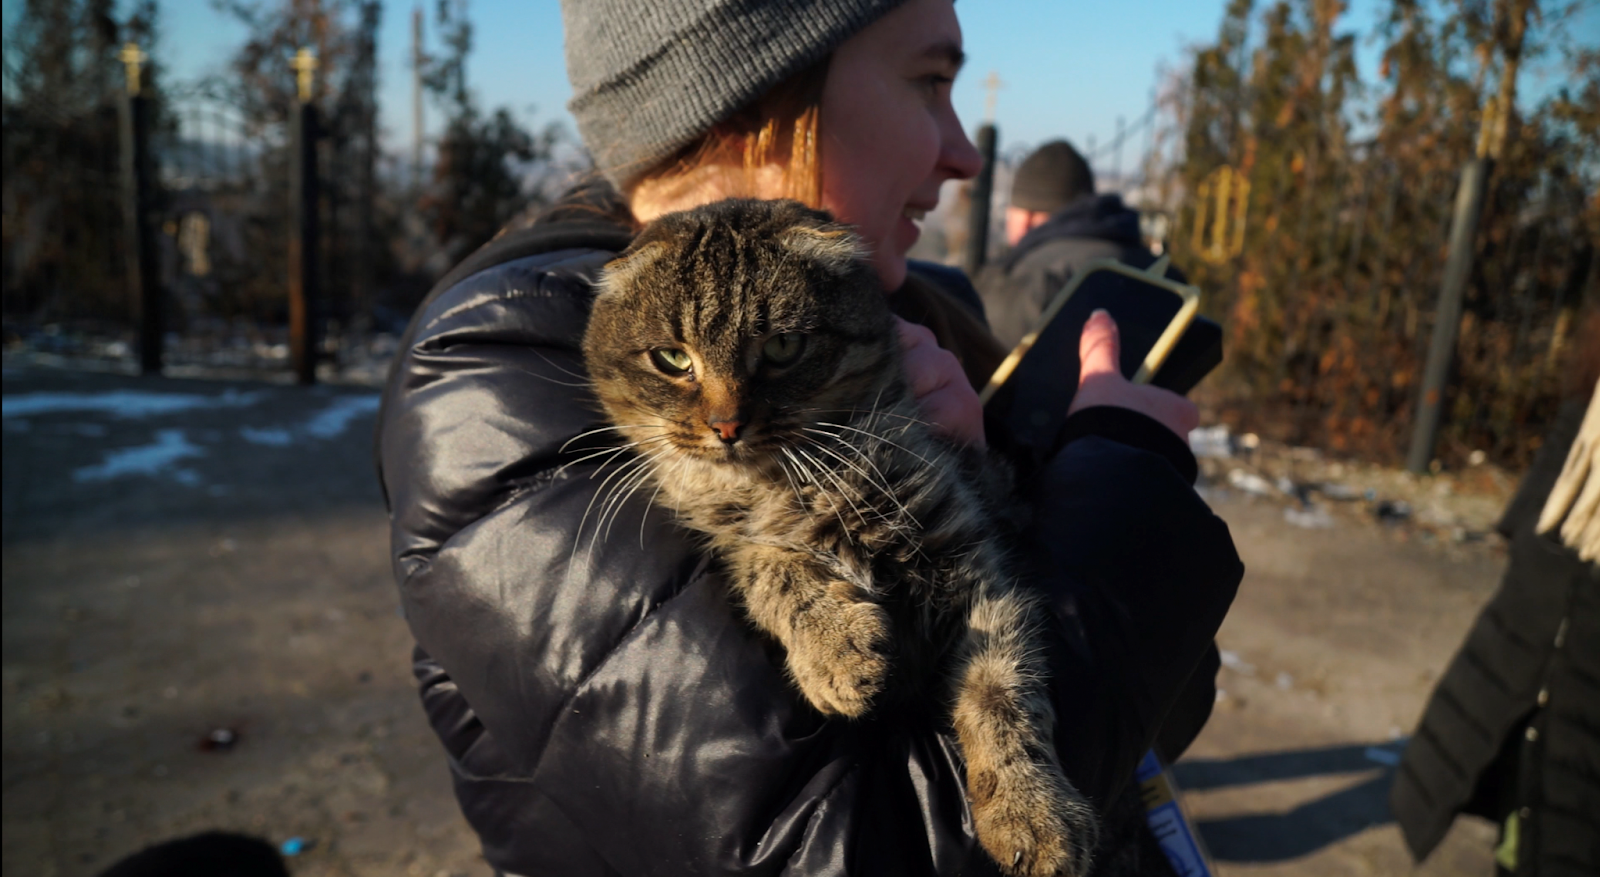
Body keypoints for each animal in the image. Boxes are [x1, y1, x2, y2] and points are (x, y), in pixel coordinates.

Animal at [585, 200, 1100, 877]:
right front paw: (836, 649)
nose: (726, 426)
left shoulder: (976, 564)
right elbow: (767, 564)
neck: (797, 485)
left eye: (782, 346)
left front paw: (1032, 808)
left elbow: (1003, 691)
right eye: (672, 359)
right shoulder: (728, 536)